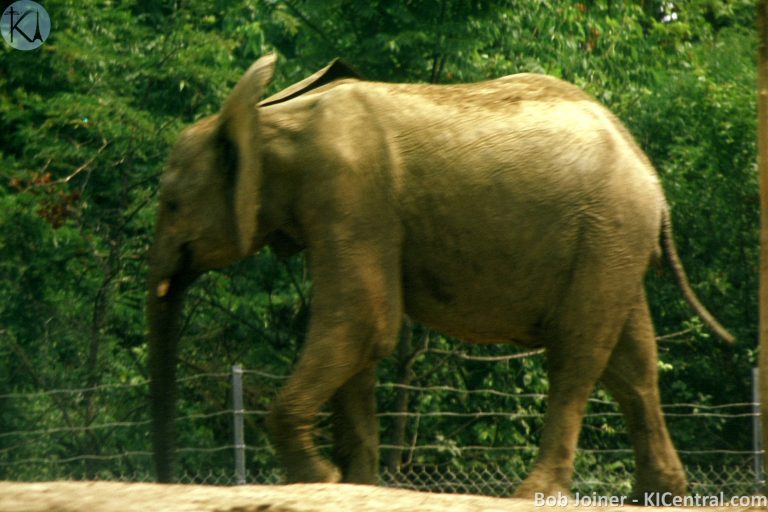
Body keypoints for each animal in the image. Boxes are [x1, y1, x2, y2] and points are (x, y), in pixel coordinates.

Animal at [147, 53, 733, 498]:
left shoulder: (350, 192)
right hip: (614, 242)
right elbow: (358, 338)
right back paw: (656, 495)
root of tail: (652, 179)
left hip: (608, 231)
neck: (271, 119)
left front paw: (320, 480)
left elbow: (364, 321)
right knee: (632, 363)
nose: (165, 480)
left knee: (577, 354)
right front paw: (356, 485)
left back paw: (534, 494)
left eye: (171, 204)